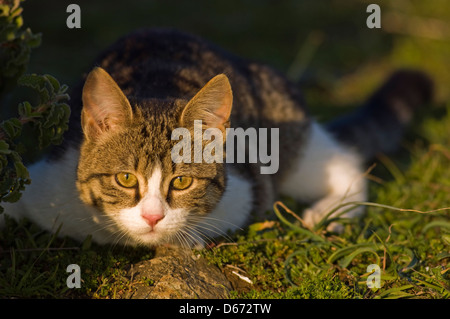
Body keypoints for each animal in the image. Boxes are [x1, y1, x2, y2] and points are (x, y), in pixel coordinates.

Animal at [0, 28, 432, 249]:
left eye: (181, 182)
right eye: (124, 179)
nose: (152, 216)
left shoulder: (248, 189)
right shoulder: (48, 182)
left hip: (289, 139)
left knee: (345, 164)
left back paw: (326, 212)